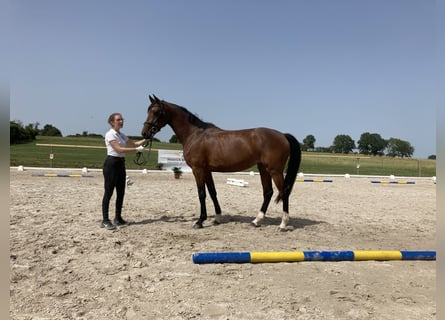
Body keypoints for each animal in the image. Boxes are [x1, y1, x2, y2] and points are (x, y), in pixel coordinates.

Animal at [142, 94, 302, 230]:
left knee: (284, 191)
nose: (145, 133)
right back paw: (256, 220)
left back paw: (283, 224)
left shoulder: (198, 169)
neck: (195, 135)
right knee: (268, 192)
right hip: (263, 168)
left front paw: (199, 221)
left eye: (156, 112)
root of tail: (283, 135)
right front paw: (217, 218)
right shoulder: (207, 170)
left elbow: (201, 193)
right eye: (148, 110)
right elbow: (212, 192)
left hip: (275, 170)